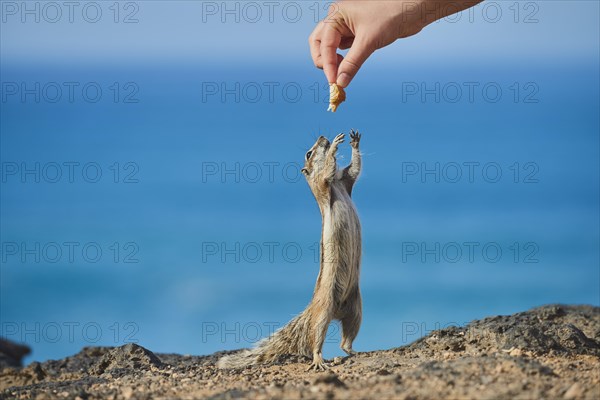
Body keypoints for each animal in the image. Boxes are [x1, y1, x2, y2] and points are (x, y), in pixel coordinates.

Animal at [218, 130, 364, 370]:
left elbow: (355, 169)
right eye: (309, 153)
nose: (323, 137)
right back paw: (319, 359)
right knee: (317, 337)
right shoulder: (323, 183)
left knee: (346, 338)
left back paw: (353, 350)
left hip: (356, 308)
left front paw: (354, 142)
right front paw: (334, 146)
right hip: (324, 310)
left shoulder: (345, 180)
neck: (336, 185)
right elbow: (328, 169)